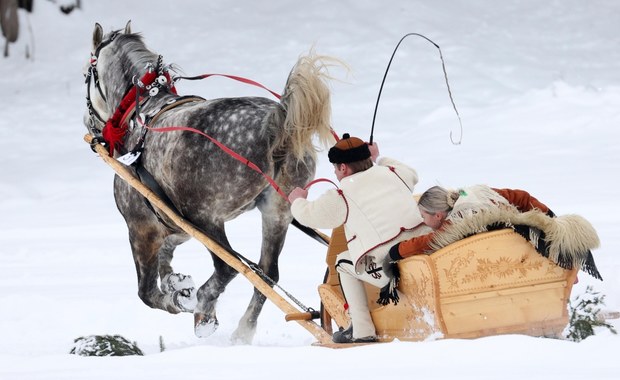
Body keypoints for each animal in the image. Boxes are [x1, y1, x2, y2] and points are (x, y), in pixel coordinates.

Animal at [83, 21, 340, 344]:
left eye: (87, 73)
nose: (89, 124)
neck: (140, 114)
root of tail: (277, 122)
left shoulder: (141, 227)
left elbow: (148, 293)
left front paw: (184, 299)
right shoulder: (175, 226)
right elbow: (166, 264)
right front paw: (179, 284)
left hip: (207, 218)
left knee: (230, 267)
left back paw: (202, 304)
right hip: (277, 213)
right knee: (266, 272)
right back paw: (241, 332)